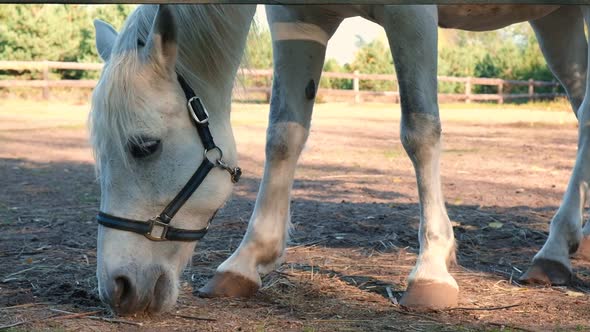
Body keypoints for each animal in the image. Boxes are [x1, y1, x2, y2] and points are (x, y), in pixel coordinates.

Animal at [200, 5, 590, 310]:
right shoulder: (294, 17)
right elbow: (283, 134)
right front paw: (245, 260)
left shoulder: (410, 12)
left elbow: (419, 130)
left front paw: (431, 271)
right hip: (557, 18)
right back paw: (564, 248)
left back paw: (554, 248)